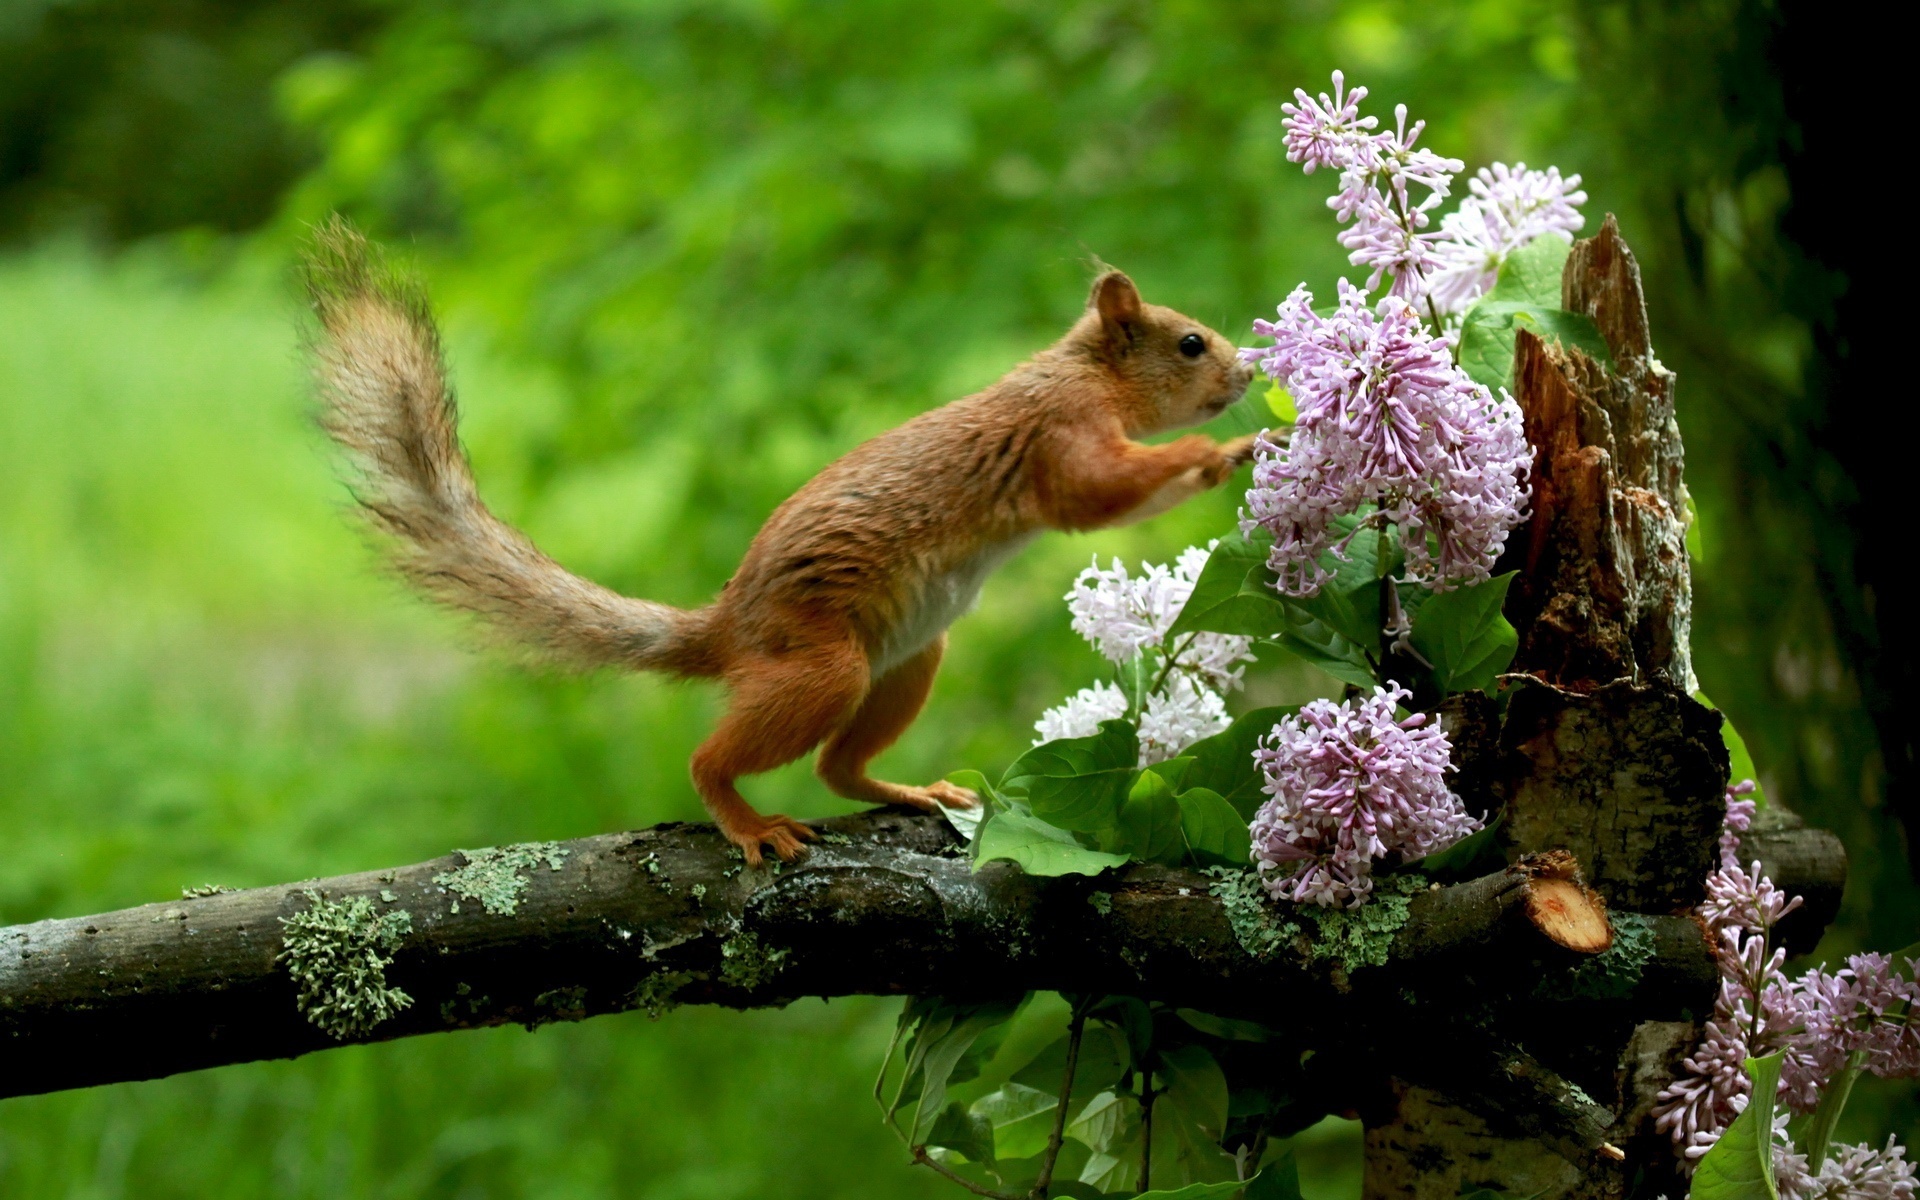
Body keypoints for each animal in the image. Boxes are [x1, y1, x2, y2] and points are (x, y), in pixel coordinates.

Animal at [299, 217, 1259, 860]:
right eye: (1189, 342)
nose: (1250, 374)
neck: (1080, 372)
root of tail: (726, 628)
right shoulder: (1061, 435)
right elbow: (1095, 495)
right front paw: (1220, 453)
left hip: (909, 661)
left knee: (839, 767)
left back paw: (908, 789)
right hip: (821, 665)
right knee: (711, 759)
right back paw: (747, 821)